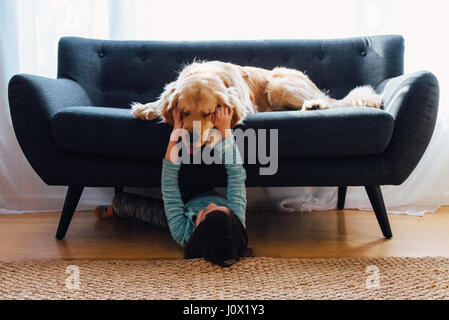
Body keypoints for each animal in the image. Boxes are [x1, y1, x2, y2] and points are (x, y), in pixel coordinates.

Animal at [131, 60, 380, 145]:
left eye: (209, 114)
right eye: (183, 112)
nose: (190, 138)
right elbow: (161, 100)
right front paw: (146, 108)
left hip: (279, 86)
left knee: (328, 104)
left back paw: (313, 105)